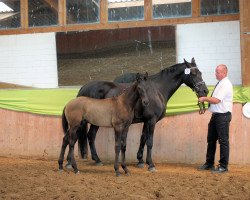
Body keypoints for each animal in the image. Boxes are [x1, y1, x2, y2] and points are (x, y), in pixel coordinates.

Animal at [74, 57, 209, 171]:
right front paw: (151, 165)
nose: (205, 91)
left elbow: (143, 138)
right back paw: (95, 160)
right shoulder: (152, 120)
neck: (157, 89)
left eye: (201, 73)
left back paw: (97, 160)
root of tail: (84, 88)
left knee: (91, 135)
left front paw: (140, 161)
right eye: (193, 73)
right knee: (89, 136)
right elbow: (150, 141)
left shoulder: (146, 120)